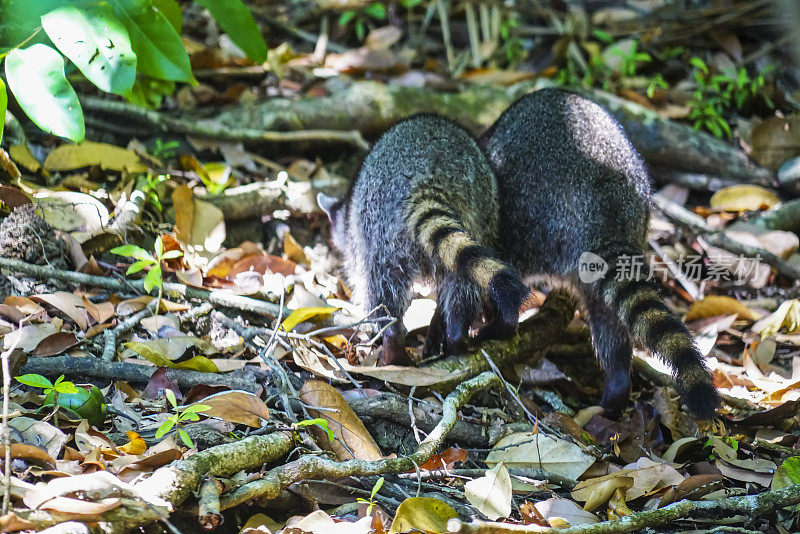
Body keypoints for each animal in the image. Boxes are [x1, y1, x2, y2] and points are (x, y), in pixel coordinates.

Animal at [318, 111, 532, 366]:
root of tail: (423, 182)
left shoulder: (358, 241)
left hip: (379, 231)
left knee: (383, 289)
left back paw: (394, 339)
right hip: (469, 216)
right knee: (460, 281)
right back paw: (448, 334)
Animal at [476, 88, 720, 420]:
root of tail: (604, 214)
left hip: (530, 218)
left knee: (507, 274)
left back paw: (502, 323)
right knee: (606, 319)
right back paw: (616, 385)